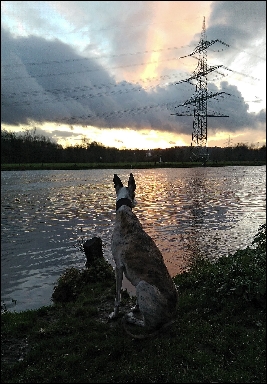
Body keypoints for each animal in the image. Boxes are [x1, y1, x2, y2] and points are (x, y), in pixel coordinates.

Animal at [109, 172, 178, 334]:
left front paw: (115, 314)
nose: (136, 202)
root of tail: (172, 316)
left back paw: (130, 319)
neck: (124, 212)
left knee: (148, 325)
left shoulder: (118, 267)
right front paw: (136, 307)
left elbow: (117, 296)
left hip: (142, 285)